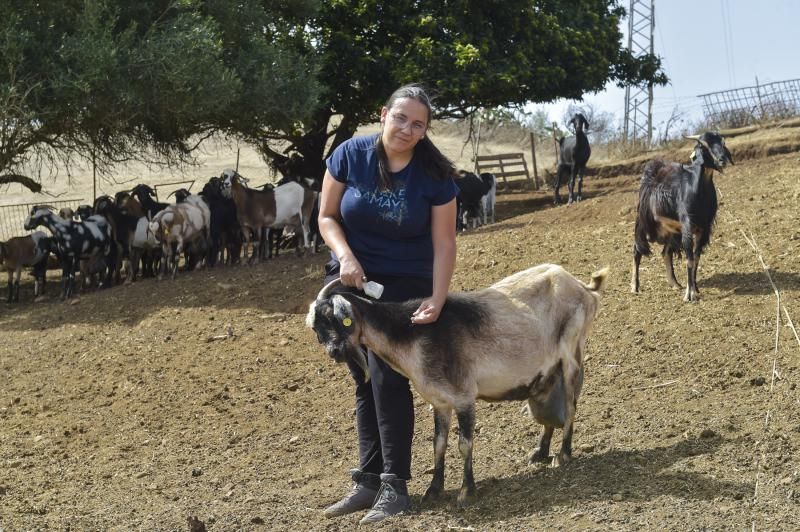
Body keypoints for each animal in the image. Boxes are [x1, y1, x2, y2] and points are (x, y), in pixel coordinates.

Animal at [636, 131, 736, 302]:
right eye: (704, 146)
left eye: (722, 143)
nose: (722, 160)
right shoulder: (688, 225)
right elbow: (689, 259)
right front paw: (689, 295)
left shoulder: (704, 228)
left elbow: (696, 258)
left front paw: (694, 288)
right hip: (645, 222)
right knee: (636, 249)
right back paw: (634, 287)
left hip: (671, 231)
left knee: (665, 253)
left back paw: (675, 284)